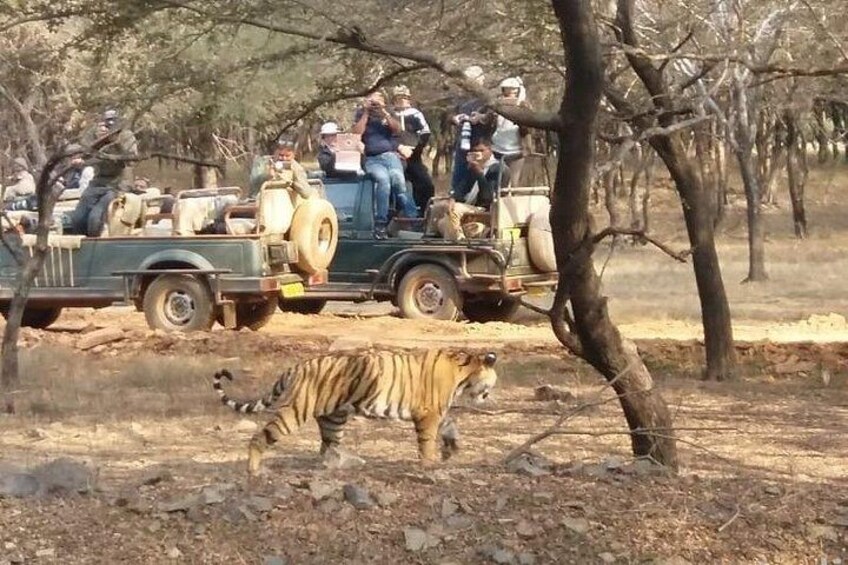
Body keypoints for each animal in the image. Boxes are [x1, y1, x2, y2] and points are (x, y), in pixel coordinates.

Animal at [212, 349, 498, 476]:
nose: (489, 395)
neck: (464, 375)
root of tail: (299, 365)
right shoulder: (428, 414)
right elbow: (427, 441)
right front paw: (430, 464)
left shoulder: (440, 411)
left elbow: (451, 426)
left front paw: (451, 450)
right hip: (296, 411)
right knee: (260, 437)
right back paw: (254, 470)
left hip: (334, 416)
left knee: (327, 447)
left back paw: (342, 464)